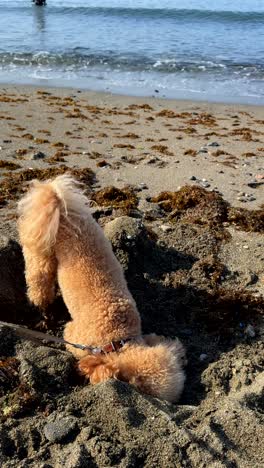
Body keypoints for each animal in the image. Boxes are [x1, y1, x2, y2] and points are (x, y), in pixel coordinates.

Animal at [17, 176, 186, 402]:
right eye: (138, 386)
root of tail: (60, 205)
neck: (117, 337)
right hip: (40, 255)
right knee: (39, 284)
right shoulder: (73, 336)